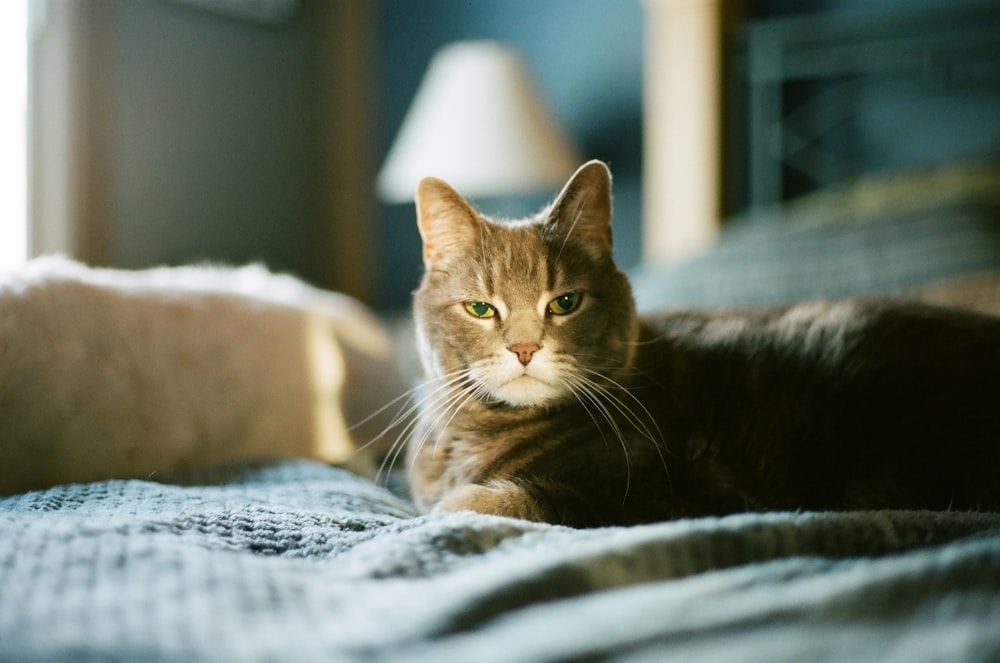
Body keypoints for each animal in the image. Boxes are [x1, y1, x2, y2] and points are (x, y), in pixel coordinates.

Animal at [402, 158, 1000, 528]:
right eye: (481, 308)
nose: (525, 349)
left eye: (565, 302)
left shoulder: (680, 496)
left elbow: (508, 499)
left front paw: (456, 505)